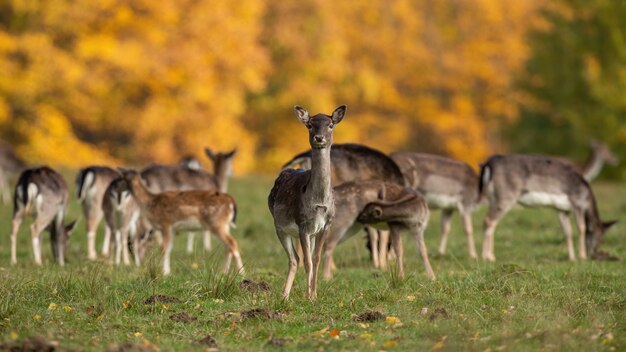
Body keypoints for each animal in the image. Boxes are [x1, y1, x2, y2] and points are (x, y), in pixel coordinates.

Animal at [268, 104, 346, 300]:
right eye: (310, 125)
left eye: (331, 125)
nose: (319, 138)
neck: (319, 202)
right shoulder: (302, 224)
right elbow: (308, 262)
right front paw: (308, 297)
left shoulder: (325, 226)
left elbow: (316, 260)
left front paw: (314, 295)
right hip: (279, 227)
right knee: (294, 259)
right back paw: (284, 296)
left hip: (309, 233)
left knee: (300, 258)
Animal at [478, 154, 616, 262]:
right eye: (601, 238)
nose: (593, 252)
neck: (587, 196)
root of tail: (488, 164)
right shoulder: (578, 204)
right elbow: (581, 228)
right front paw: (582, 256)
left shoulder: (562, 210)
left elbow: (568, 232)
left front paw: (572, 258)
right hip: (506, 196)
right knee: (489, 220)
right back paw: (488, 257)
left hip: (492, 198)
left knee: (490, 222)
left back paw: (489, 255)